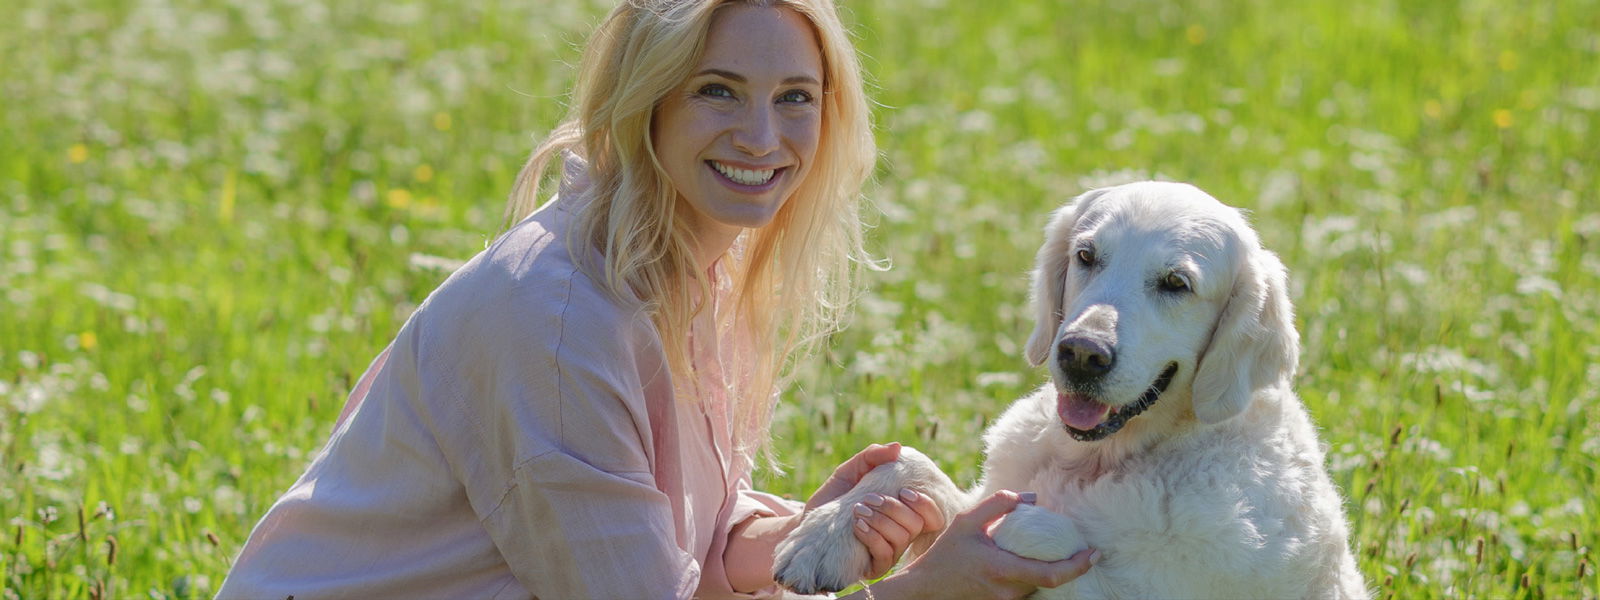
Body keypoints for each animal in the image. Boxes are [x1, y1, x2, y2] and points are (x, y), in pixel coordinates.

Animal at [774, 180, 1363, 598]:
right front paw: (822, 535)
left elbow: (1029, 528)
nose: (1081, 353)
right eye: (1086, 256)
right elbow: (910, 463)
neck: (1102, 459)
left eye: (1176, 283)